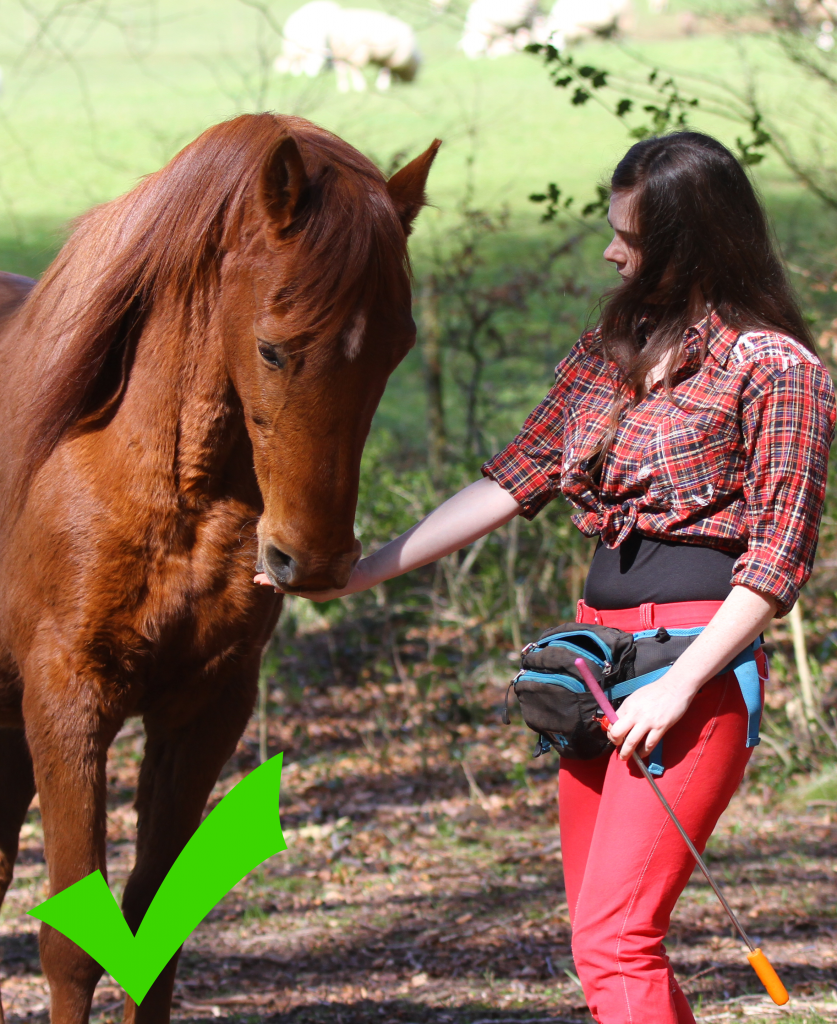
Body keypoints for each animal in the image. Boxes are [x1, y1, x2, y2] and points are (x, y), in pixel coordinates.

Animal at [0, 114, 440, 1024]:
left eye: (398, 347)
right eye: (272, 350)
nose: (312, 559)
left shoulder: (204, 712)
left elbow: (155, 930)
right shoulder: (67, 706)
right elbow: (72, 946)